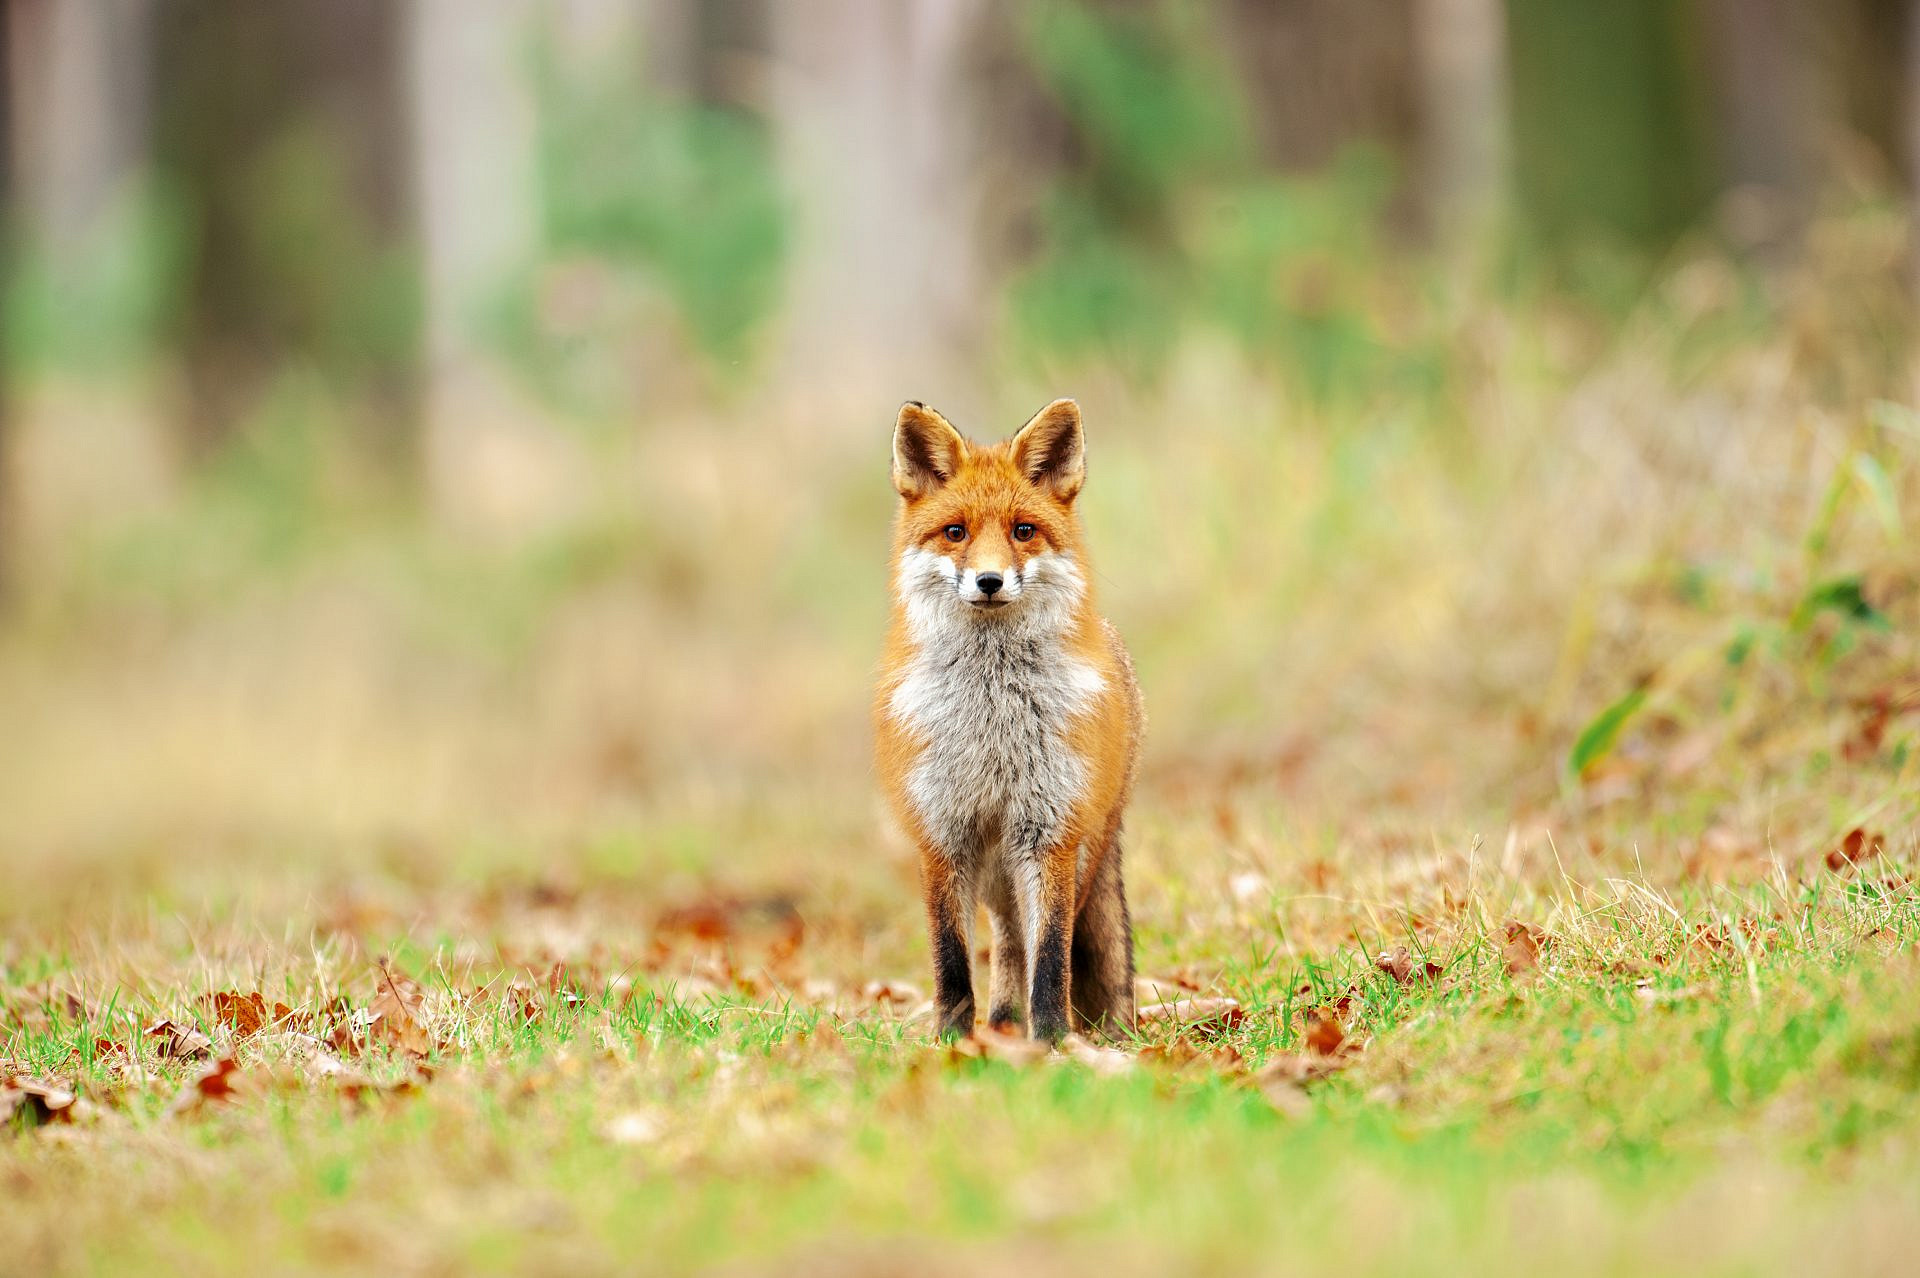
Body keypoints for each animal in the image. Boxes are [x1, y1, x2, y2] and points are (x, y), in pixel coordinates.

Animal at [874, 398, 1144, 1044]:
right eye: (956, 532)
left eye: (1023, 530)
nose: (990, 581)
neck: (993, 718)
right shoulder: (942, 833)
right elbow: (951, 958)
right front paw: (952, 1041)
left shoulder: (1049, 833)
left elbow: (1049, 957)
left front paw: (1051, 1042)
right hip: (998, 868)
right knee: (1006, 941)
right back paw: (997, 1026)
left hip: (1079, 851)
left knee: (1033, 942)